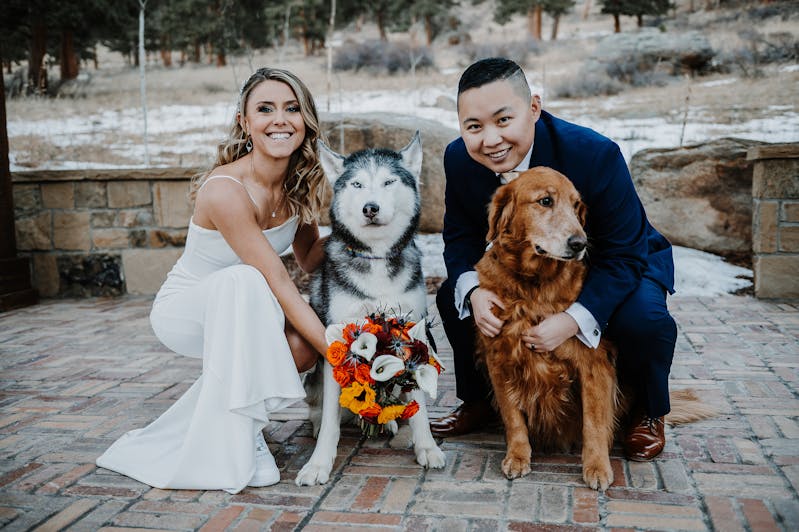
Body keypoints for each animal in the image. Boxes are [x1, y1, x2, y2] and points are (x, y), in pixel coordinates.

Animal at [296, 132, 446, 486]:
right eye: (358, 184)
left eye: (389, 181)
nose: (370, 208)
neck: (376, 258)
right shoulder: (338, 342)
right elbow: (331, 418)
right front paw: (318, 464)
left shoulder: (411, 336)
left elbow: (419, 406)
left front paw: (427, 447)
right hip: (314, 378)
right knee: (321, 407)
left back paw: (388, 421)